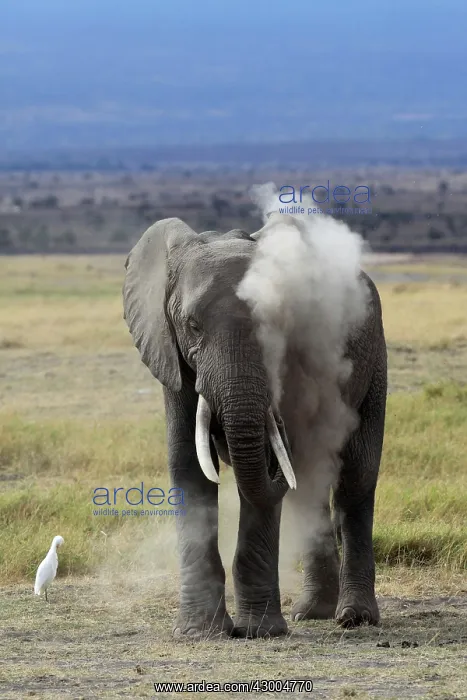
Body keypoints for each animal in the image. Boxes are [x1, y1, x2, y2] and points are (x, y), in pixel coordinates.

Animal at [123, 214, 387, 639]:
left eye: (275, 324)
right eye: (192, 325)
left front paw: (259, 632)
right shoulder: (170, 353)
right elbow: (188, 464)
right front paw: (200, 633)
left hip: (373, 359)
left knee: (354, 479)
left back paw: (353, 617)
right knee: (308, 487)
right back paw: (312, 612)